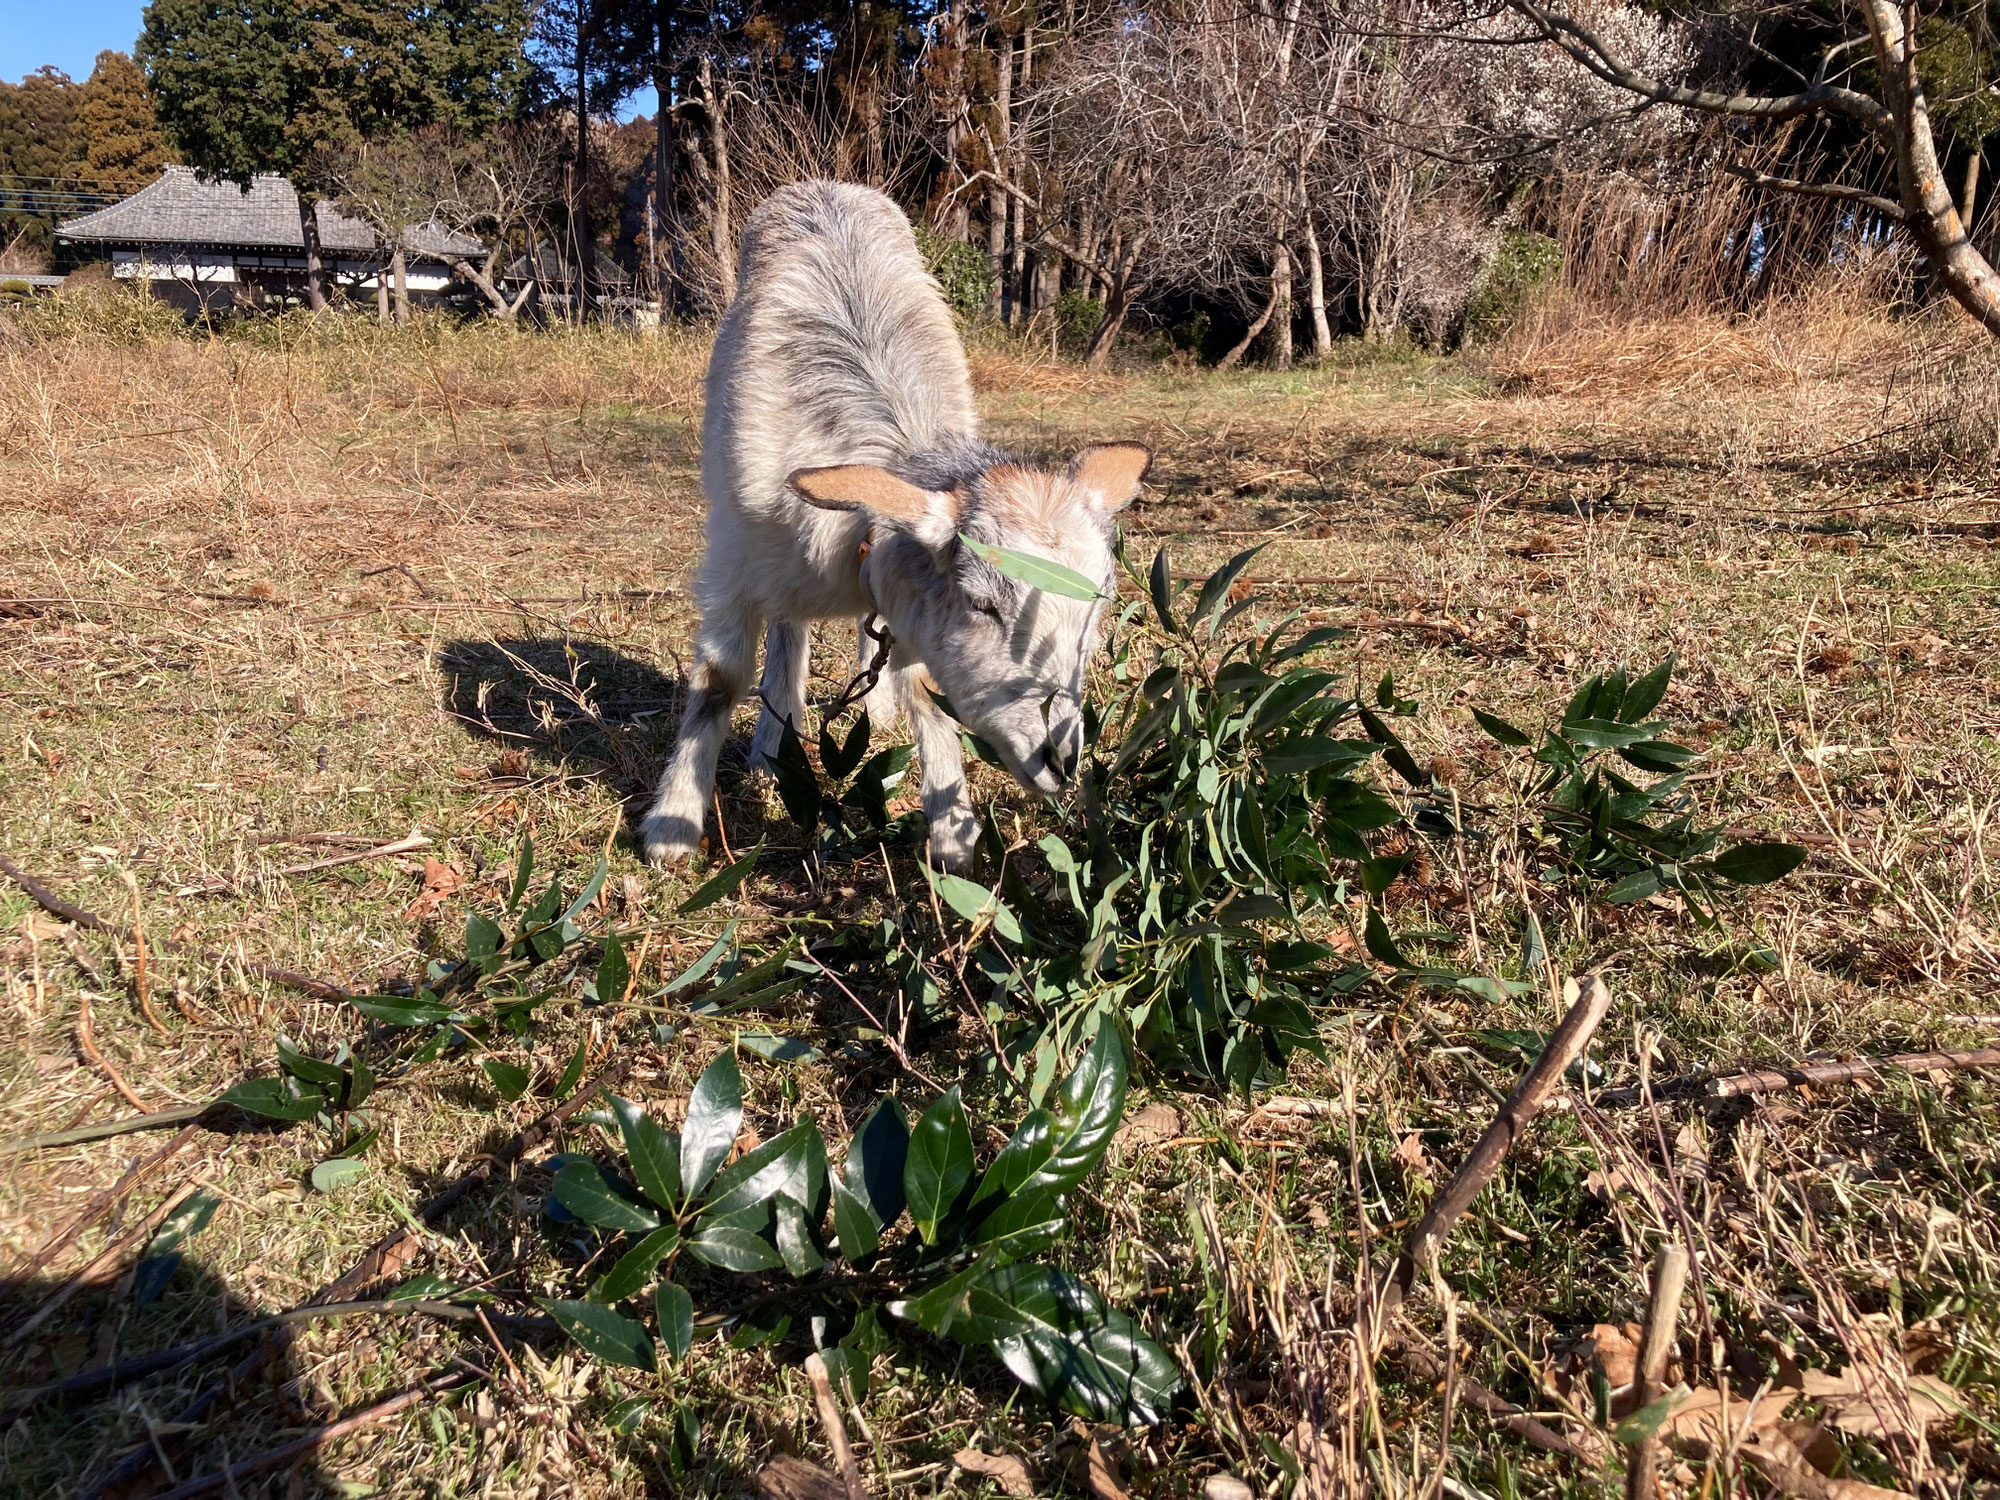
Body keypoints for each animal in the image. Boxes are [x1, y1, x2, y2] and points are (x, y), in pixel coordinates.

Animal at [632, 181, 1152, 876]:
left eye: (1095, 613)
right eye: (982, 604)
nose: (1062, 761)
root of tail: (825, 188)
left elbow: (925, 688)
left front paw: (953, 838)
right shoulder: (735, 560)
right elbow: (720, 681)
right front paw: (675, 822)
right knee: (788, 628)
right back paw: (774, 745)